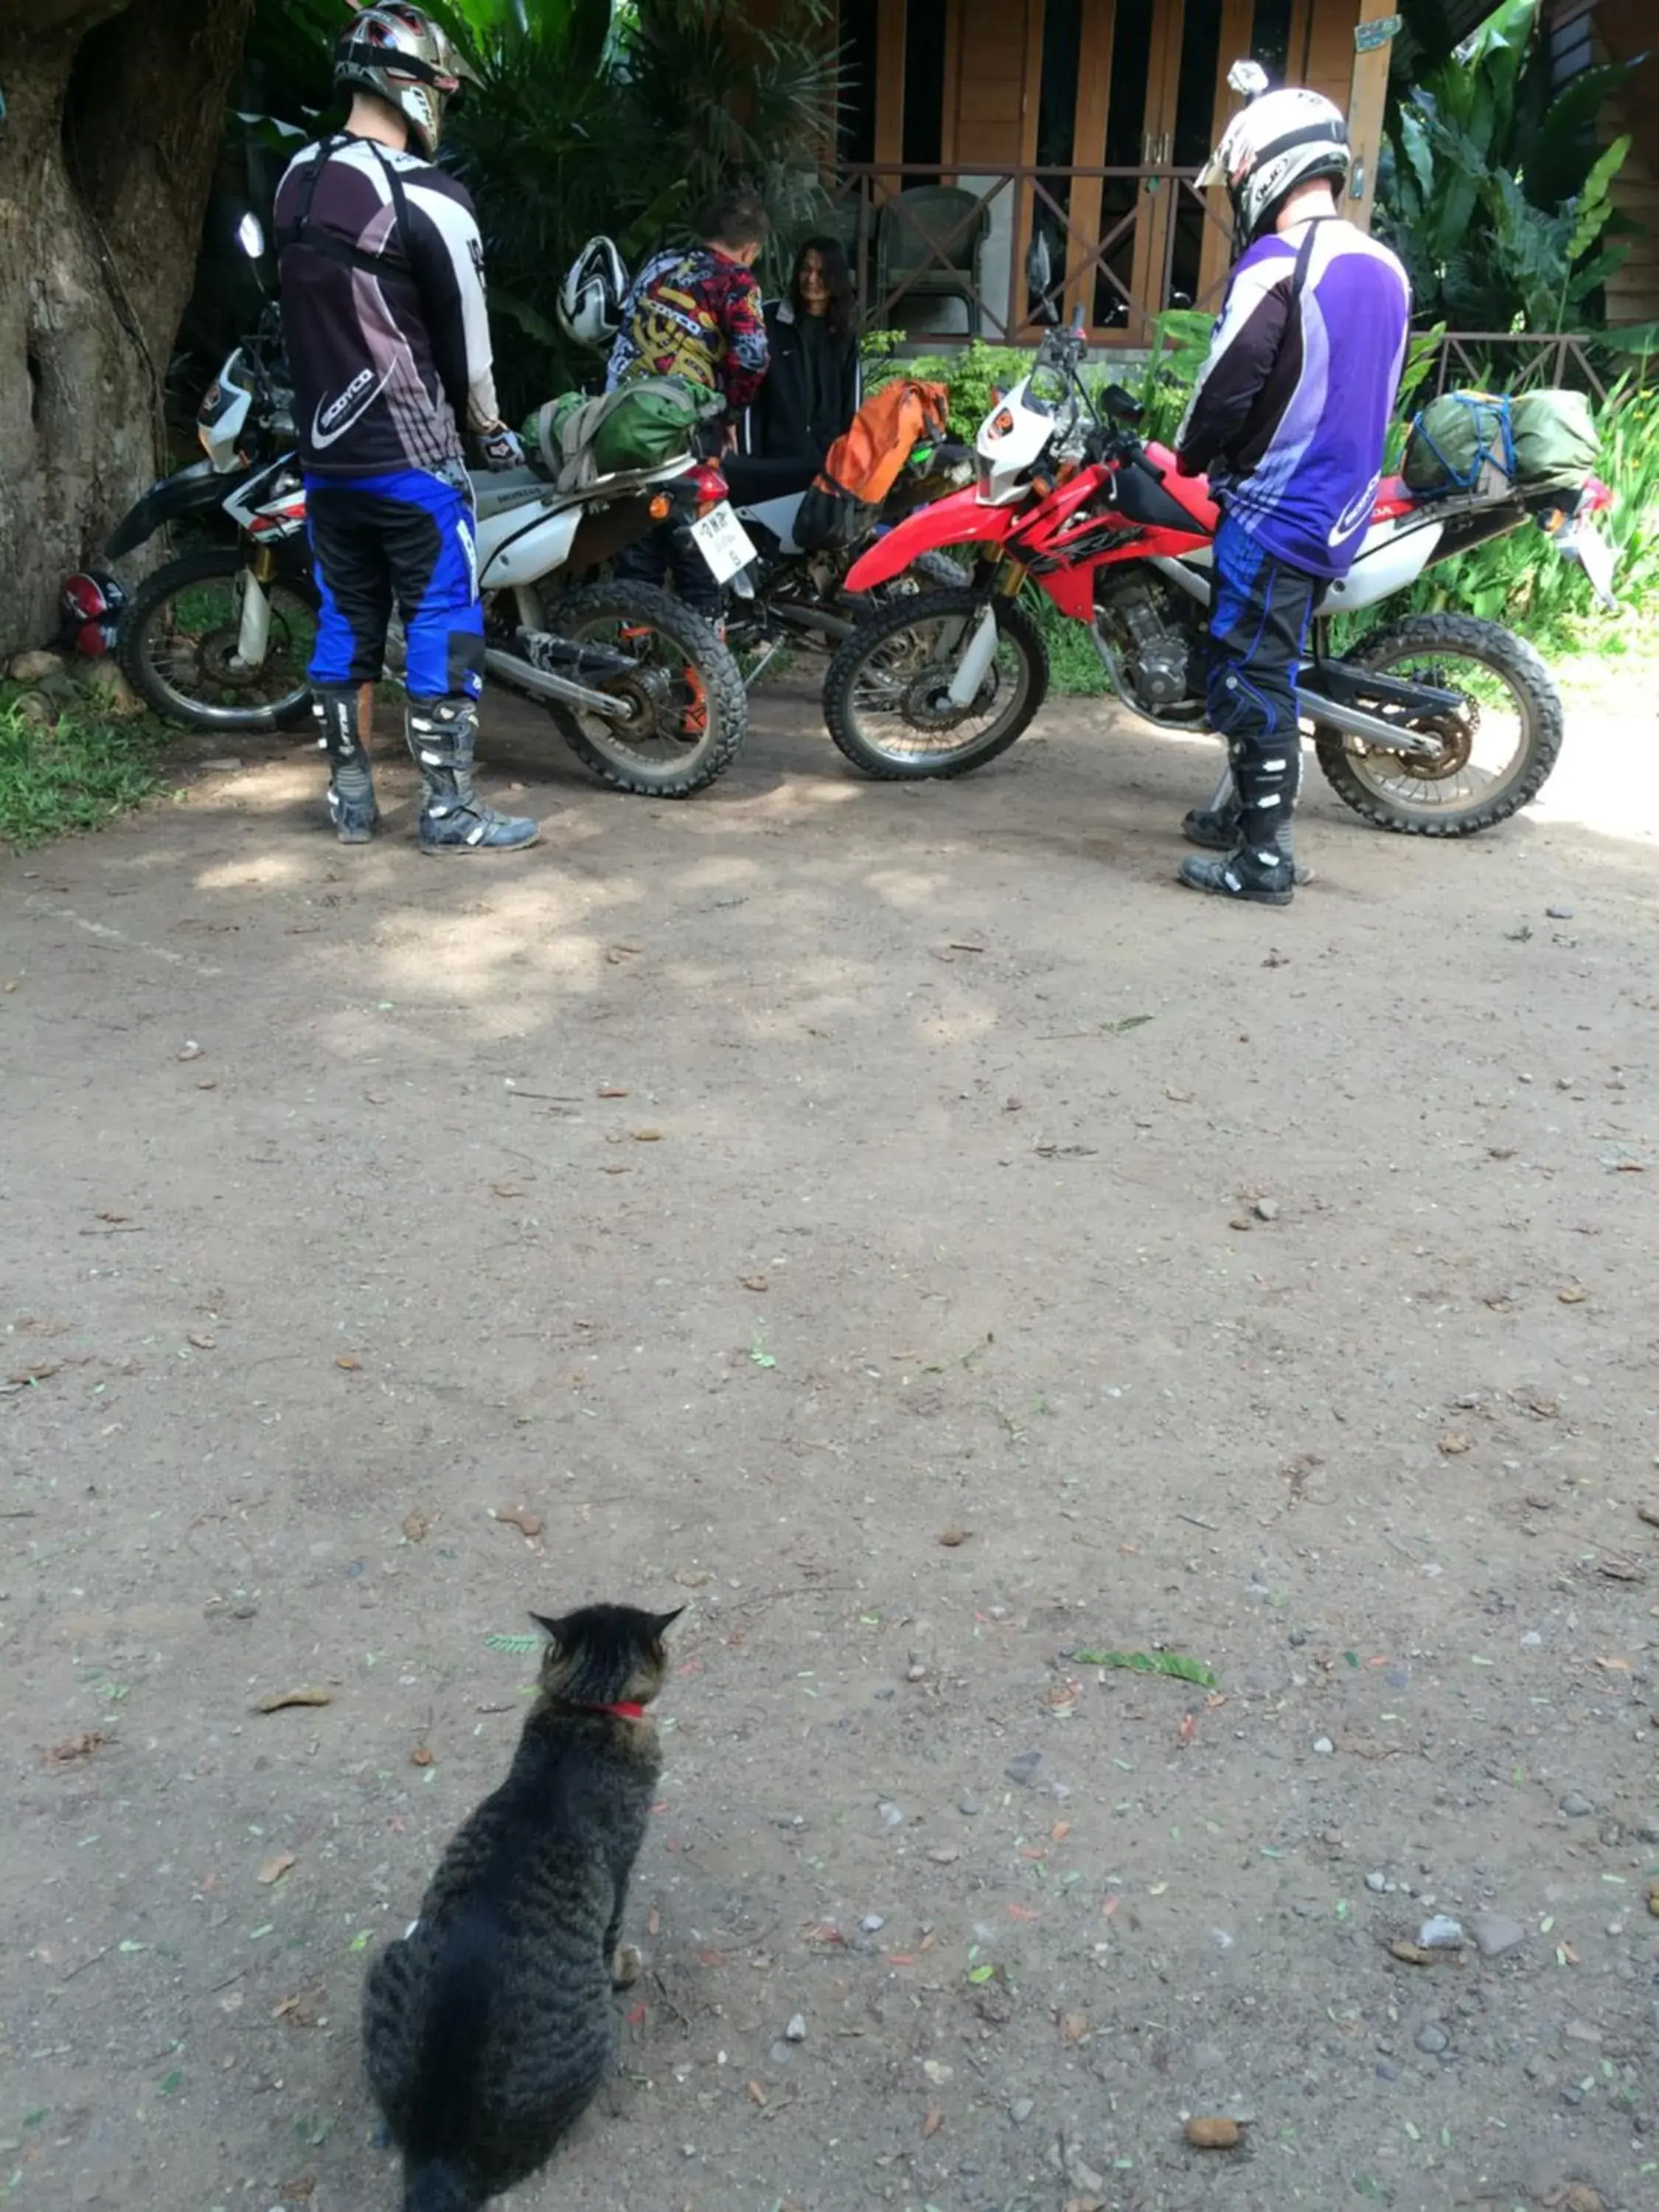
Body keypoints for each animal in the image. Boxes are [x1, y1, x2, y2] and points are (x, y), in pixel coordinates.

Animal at [363, 1610, 681, 2212]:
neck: (588, 1712)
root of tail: (441, 2159)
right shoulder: (621, 1869)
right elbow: (614, 1936)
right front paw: (626, 1965)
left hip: (386, 1966)